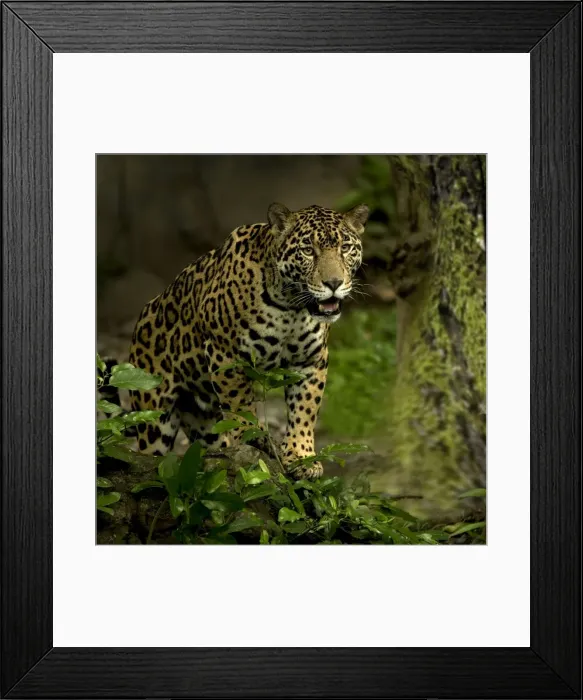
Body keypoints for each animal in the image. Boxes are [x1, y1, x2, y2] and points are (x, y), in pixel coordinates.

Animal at [128, 202, 368, 479]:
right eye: (308, 251)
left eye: (345, 248)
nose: (334, 283)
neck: (291, 307)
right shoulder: (225, 354)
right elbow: (239, 403)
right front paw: (251, 437)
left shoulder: (311, 360)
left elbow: (305, 409)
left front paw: (301, 456)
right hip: (154, 417)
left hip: (204, 424)